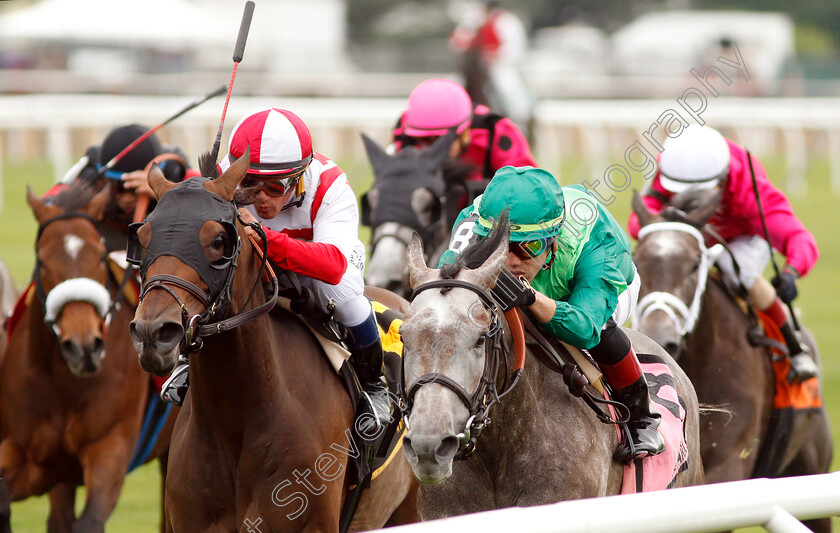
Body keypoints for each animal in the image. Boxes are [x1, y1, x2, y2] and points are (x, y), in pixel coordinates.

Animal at [0, 182, 175, 532]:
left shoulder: (110, 448)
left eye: (98, 256)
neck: (64, 383)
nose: (84, 348)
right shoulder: (29, 456)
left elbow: (89, 521)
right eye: (42, 261)